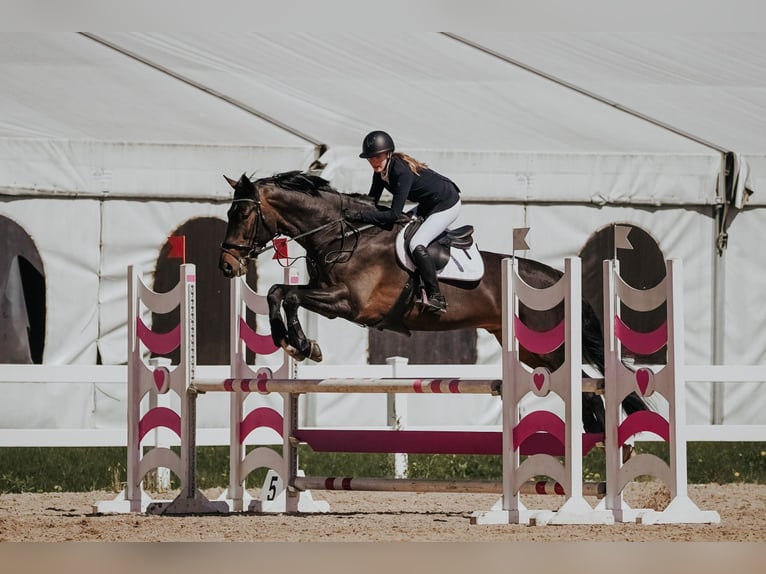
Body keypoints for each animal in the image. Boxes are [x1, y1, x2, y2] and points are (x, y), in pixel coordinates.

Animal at [219, 173, 652, 434]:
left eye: (242, 213)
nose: (227, 266)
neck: (343, 235)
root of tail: (558, 281)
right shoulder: (326, 291)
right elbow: (279, 293)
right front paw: (295, 342)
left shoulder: (350, 304)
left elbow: (287, 293)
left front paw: (301, 343)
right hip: (532, 352)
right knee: (586, 394)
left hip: (551, 347)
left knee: (588, 388)